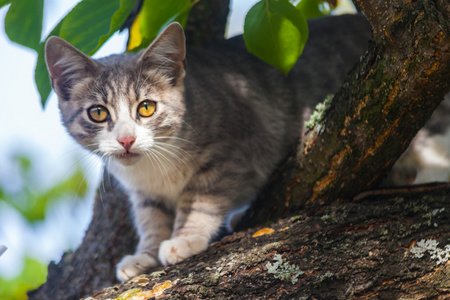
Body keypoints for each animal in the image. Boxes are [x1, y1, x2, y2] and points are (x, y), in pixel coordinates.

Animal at [44, 17, 370, 284]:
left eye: (146, 108)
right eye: (98, 113)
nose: (126, 140)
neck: (154, 166)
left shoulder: (232, 150)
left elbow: (200, 196)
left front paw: (186, 237)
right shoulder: (143, 192)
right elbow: (151, 215)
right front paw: (146, 254)